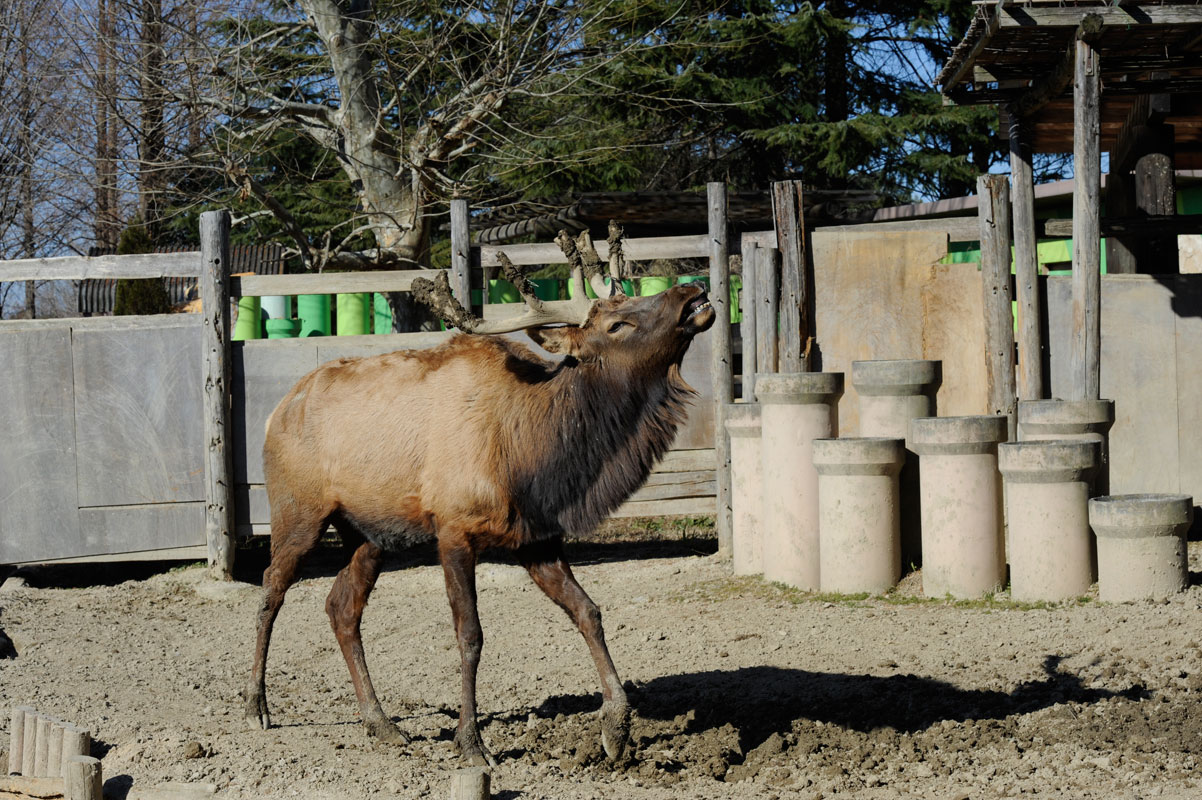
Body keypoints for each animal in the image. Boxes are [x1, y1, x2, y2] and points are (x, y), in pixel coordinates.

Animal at [244, 221, 711, 763]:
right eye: (617, 325)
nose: (691, 290)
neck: (541, 457)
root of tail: (277, 410)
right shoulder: (454, 530)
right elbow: (470, 634)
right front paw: (471, 741)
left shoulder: (537, 537)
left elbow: (588, 611)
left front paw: (616, 727)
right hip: (298, 511)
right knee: (271, 589)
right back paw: (256, 706)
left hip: (369, 533)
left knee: (341, 608)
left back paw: (380, 722)